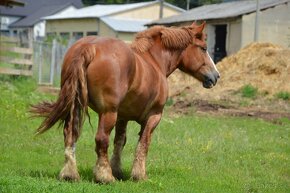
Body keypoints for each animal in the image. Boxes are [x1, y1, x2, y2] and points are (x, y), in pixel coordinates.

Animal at [30, 21, 220, 183]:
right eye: (203, 48)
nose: (216, 76)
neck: (154, 60)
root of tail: (89, 47)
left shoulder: (123, 117)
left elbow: (120, 141)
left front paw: (118, 170)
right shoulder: (154, 116)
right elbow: (143, 143)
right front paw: (138, 175)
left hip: (76, 107)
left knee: (70, 134)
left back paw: (70, 174)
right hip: (108, 113)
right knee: (101, 139)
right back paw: (105, 176)